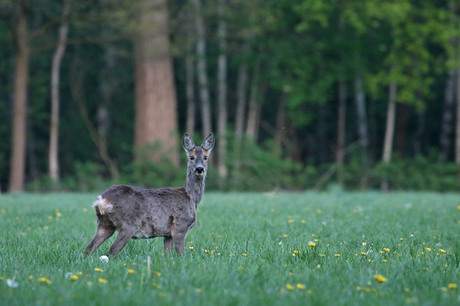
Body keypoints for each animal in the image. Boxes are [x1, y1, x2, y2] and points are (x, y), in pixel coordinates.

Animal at [85, 133, 216, 256]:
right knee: (111, 252)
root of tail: (101, 200)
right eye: (191, 157)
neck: (191, 198)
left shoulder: (167, 234)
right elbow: (181, 254)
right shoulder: (180, 227)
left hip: (104, 224)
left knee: (89, 249)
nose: (199, 169)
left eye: (205, 157)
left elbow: (168, 254)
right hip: (128, 225)